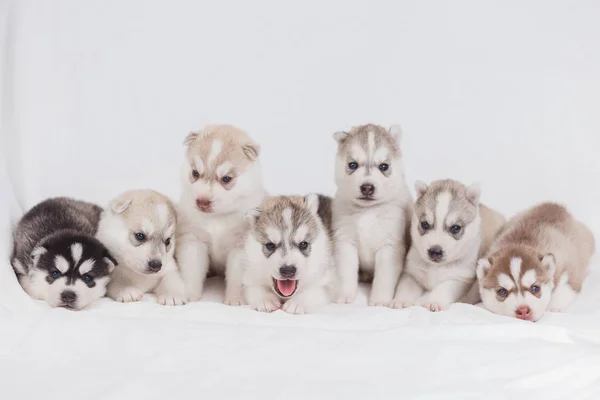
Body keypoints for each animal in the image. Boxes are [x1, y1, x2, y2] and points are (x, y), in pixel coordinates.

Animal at [176, 123, 264, 304]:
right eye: (195, 173)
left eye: (226, 179)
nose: (202, 201)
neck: (216, 218)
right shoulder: (193, 241)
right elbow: (192, 271)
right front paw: (189, 294)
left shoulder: (240, 247)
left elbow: (237, 277)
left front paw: (236, 299)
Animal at [330, 123, 414, 304]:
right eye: (353, 165)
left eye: (384, 166)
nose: (367, 187)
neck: (367, 210)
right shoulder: (345, 241)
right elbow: (346, 272)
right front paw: (344, 295)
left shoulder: (390, 246)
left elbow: (384, 277)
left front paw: (380, 301)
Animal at [392, 180, 504, 310]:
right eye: (425, 224)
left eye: (455, 228)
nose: (435, 251)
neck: (435, 267)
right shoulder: (411, 273)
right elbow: (406, 287)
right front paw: (401, 300)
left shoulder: (459, 279)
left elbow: (443, 288)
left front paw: (433, 301)